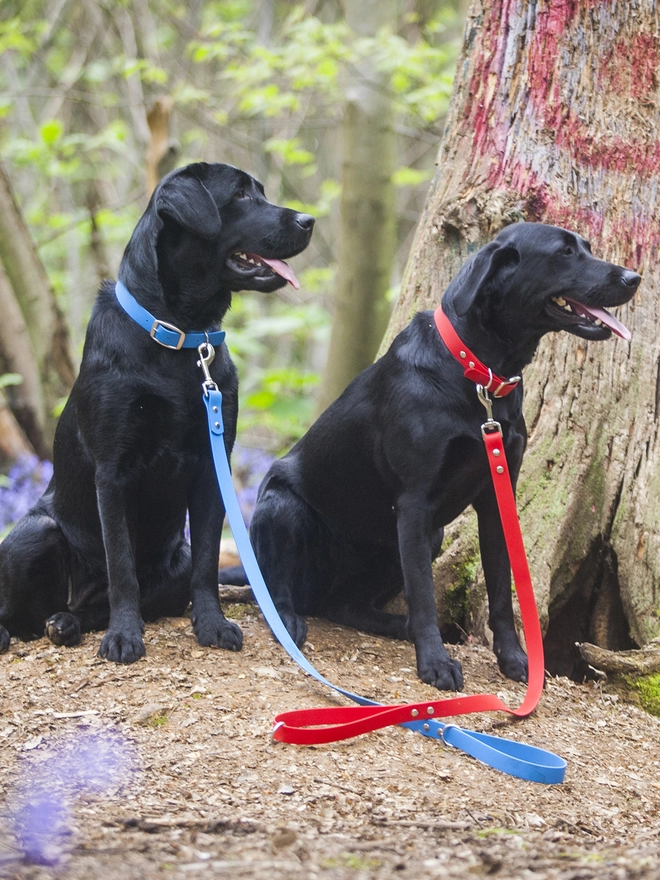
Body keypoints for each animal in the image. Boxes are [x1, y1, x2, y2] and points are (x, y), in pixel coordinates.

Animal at [0, 162, 314, 664]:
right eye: (240, 195)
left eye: (261, 191)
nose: (309, 221)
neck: (181, 336)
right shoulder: (112, 472)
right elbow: (122, 565)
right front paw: (124, 636)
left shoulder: (212, 466)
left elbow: (207, 562)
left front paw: (213, 625)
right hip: (36, 533)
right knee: (20, 613)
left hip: (173, 562)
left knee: (91, 606)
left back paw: (67, 623)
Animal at [220, 223, 640, 692]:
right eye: (565, 253)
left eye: (586, 247)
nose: (634, 278)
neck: (478, 373)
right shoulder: (415, 503)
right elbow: (423, 595)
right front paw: (435, 665)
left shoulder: (496, 498)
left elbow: (500, 591)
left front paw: (515, 660)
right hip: (283, 506)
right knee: (275, 591)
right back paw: (289, 621)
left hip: (422, 539)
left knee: (344, 606)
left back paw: (392, 624)